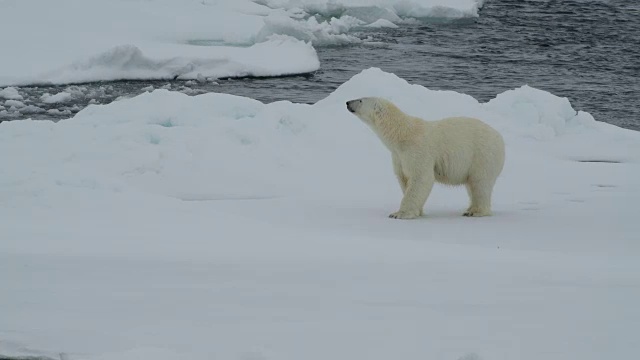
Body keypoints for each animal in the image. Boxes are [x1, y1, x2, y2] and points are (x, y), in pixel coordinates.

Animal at [344, 96, 504, 219]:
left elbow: (420, 177)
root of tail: (500, 138)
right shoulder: (398, 156)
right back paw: (469, 209)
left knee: (480, 182)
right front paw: (417, 211)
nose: (347, 102)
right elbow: (404, 178)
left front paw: (399, 214)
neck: (401, 134)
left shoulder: (417, 150)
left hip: (482, 155)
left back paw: (476, 211)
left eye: (360, 100)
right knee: (472, 184)